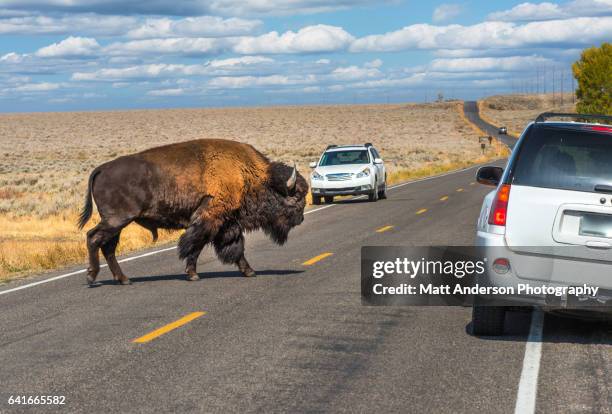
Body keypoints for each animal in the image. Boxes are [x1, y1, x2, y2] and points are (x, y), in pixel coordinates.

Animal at [79, 139, 308, 284]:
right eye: (296, 196)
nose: (300, 219)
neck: (249, 175)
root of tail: (101, 168)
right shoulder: (209, 219)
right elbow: (194, 245)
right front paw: (192, 274)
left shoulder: (227, 223)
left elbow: (235, 247)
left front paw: (249, 271)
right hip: (117, 220)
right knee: (93, 238)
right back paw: (92, 277)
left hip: (117, 223)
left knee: (107, 247)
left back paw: (123, 279)